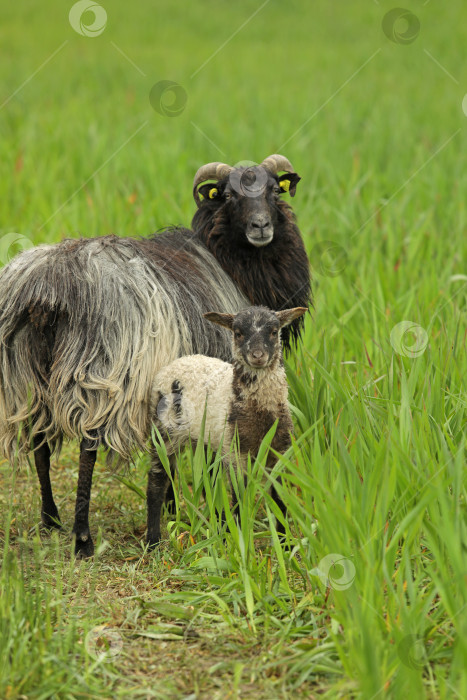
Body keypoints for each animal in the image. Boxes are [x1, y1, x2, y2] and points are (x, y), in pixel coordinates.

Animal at [0, 154, 310, 556]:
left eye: (274, 190)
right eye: (228, 195)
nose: (261, 226)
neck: (228, 262)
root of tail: (46, 291)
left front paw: (176, 511)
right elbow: (202, 458)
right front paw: (207, 516)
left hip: (26, 377)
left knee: (39, 444)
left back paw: (50, 519)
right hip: (100, 372)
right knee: (87, 447)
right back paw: (83, 538)